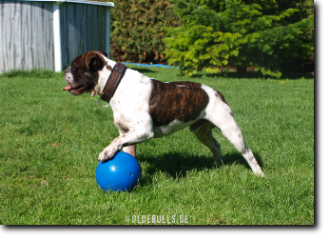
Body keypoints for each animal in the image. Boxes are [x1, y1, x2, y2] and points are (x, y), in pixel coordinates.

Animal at [63, 50, 266, 177]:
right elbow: (126, 148)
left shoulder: (144, 130)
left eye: (74, 67)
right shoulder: (127, 132)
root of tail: (216, 92)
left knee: (247, 152)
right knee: (215, 145)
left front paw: (107, 151)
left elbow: (115, 140)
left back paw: (259, 174)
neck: (116, 84)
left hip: (230, 130)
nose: (64, 70)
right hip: (202, 131)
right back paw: (219, 165)